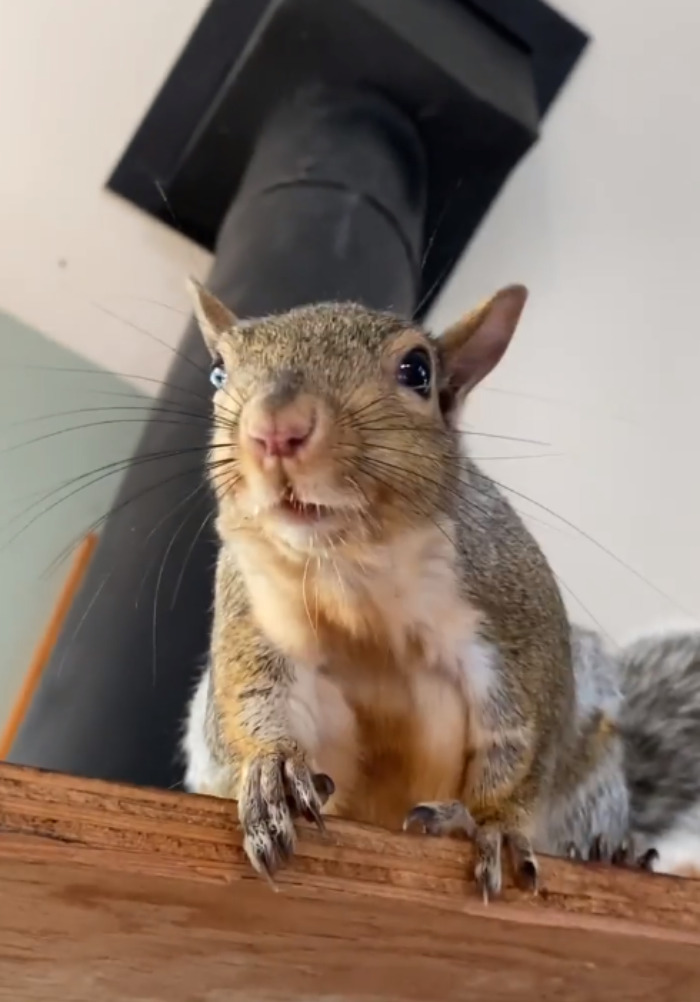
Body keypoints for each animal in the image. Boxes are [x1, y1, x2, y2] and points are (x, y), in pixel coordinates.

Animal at [180, 279, 656, 897]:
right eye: (218, 372)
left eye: (417, 370)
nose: (275, 428)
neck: (349, 566)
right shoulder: (253, 614)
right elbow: (250, 699)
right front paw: (273, 771)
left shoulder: (515, 619)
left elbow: (520, 741)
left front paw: (492, 825)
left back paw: (612, 855)